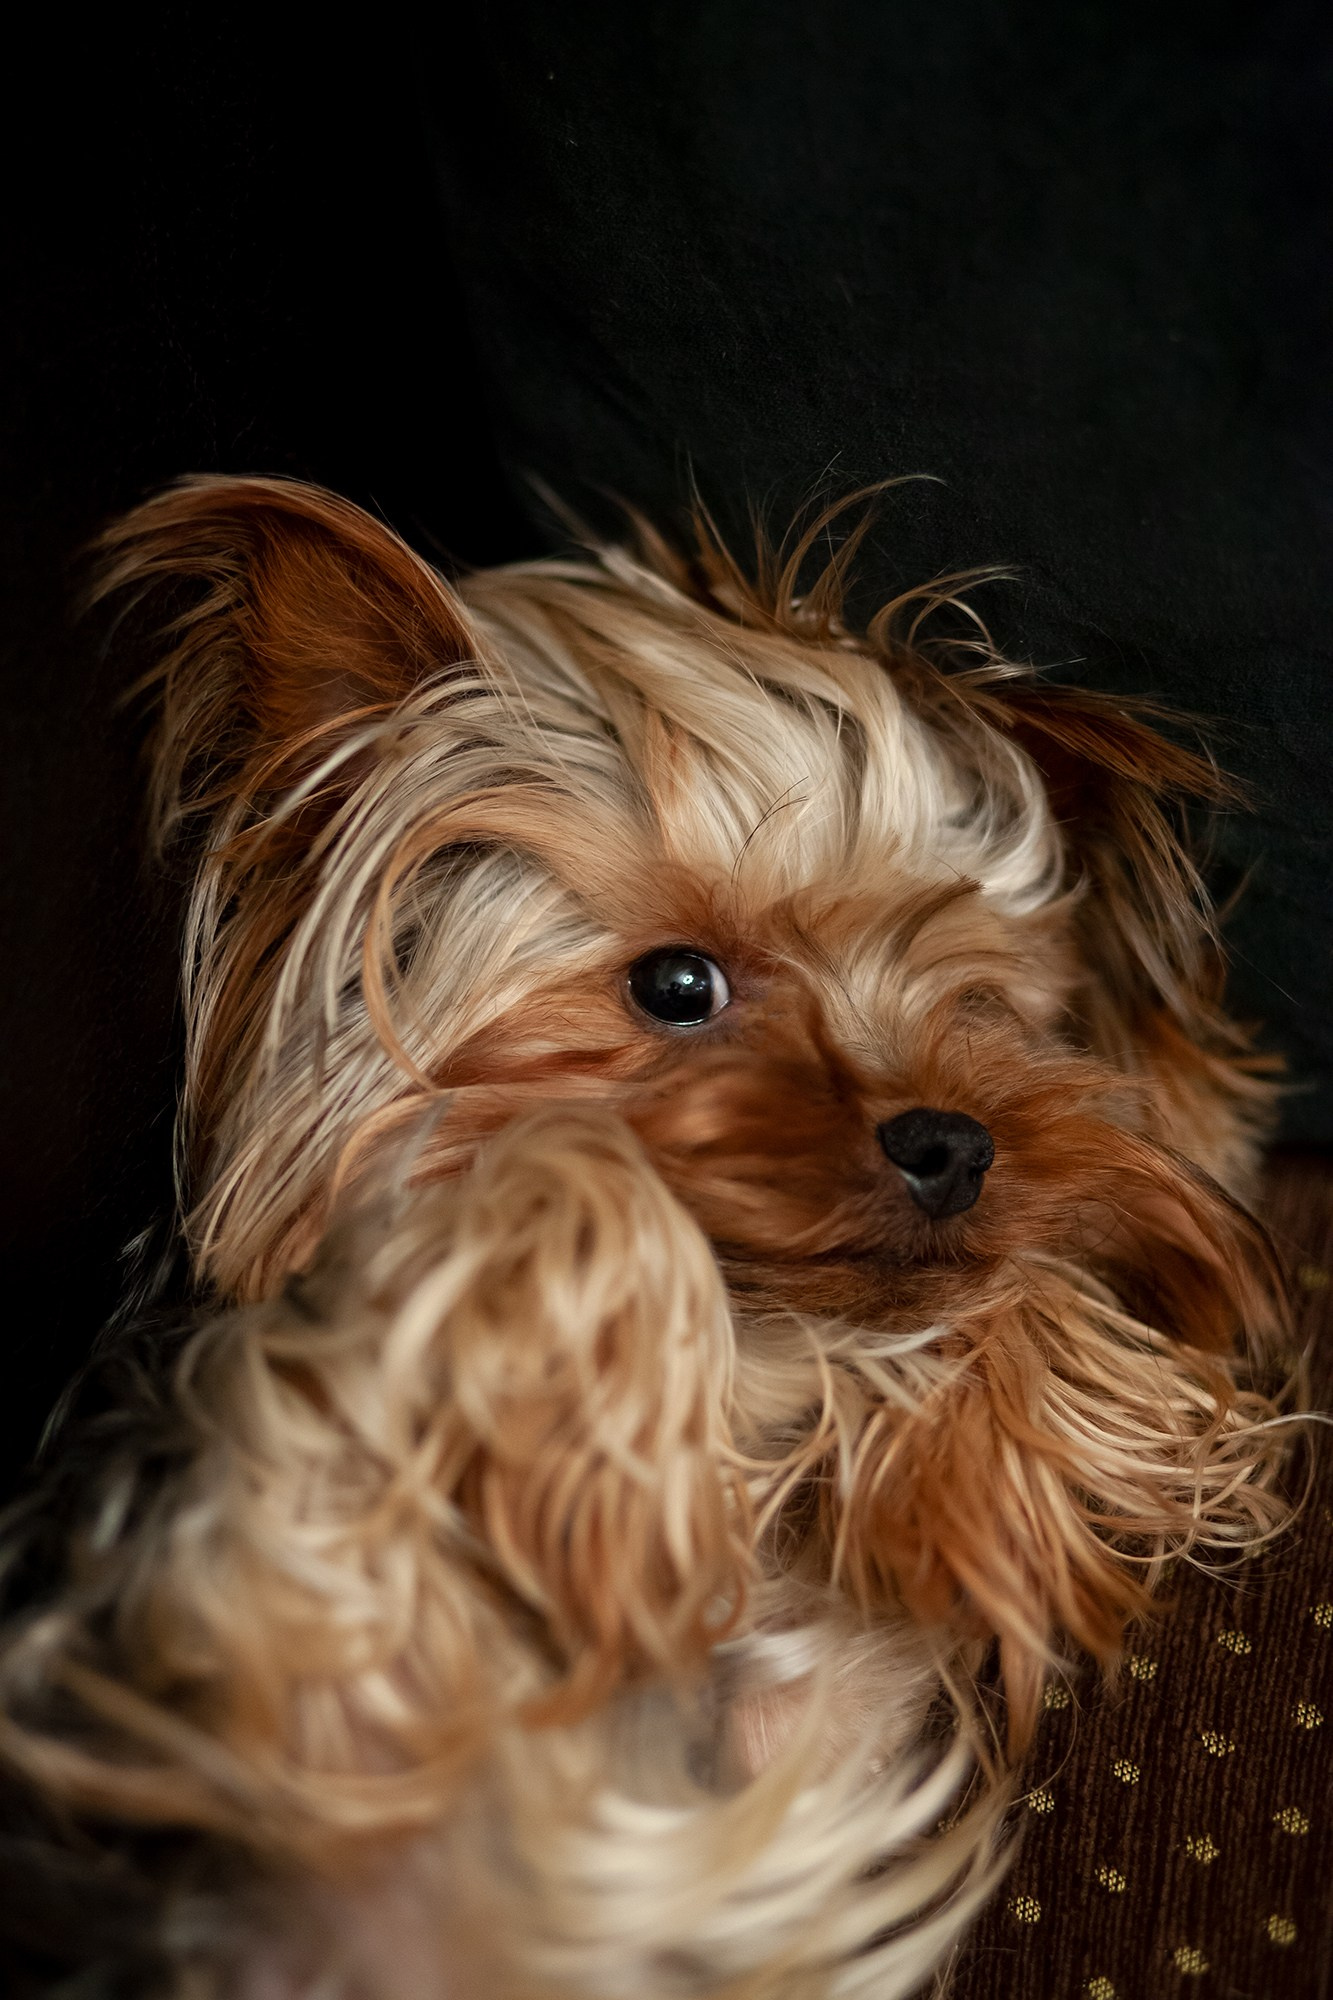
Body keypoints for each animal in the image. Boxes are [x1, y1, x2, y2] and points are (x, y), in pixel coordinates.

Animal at [0, 478, 1296, 1998]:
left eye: (976, 1001)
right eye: (677, 984)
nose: (955, 1144)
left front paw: (986, 1443)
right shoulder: (271, 1586)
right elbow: (567, 1184)